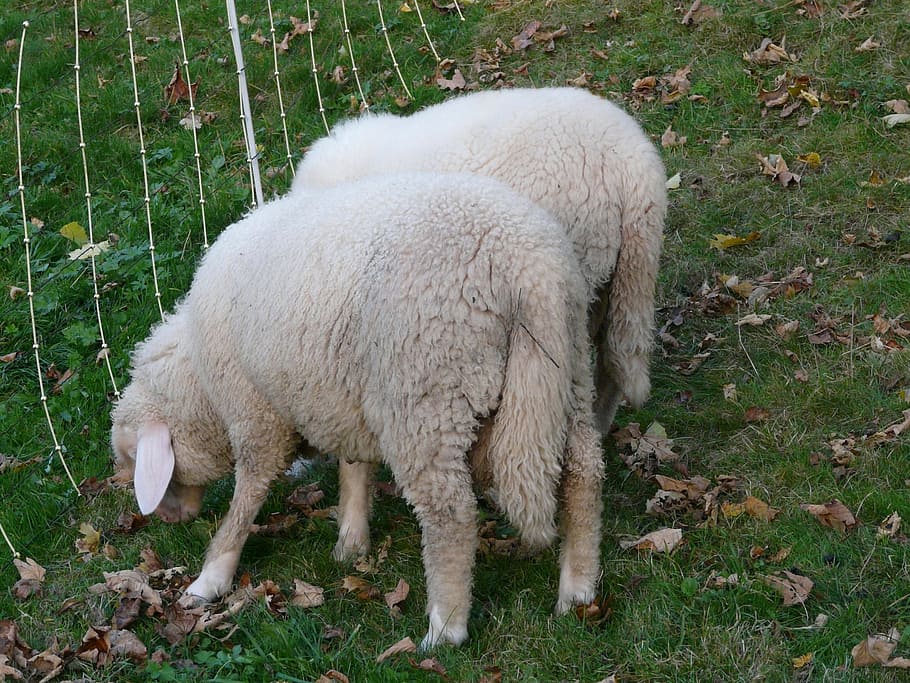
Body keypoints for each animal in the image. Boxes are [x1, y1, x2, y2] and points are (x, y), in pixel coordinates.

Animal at [111, 172, 604, 648]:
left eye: (135, 459)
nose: (167, 519)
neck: (200, 381)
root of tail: (527, 267)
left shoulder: (256, 414)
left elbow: (247, 495)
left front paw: (211, 578)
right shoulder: (341, 397)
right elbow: (355, 467)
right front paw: (351, 541)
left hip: (425, 395)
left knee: (451, 513)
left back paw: (445, 629)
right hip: (570, 370)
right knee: (583, 474)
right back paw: (577, 590)